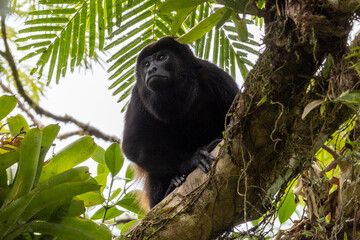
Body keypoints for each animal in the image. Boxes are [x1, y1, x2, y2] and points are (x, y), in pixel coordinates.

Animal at [121, 37, 239, 208]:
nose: (151, 70)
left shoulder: (213, 73)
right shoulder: (137, 95)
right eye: (146, 64)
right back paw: (171, 187)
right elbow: (133, 146)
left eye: (162, 57)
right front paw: (194, 160)